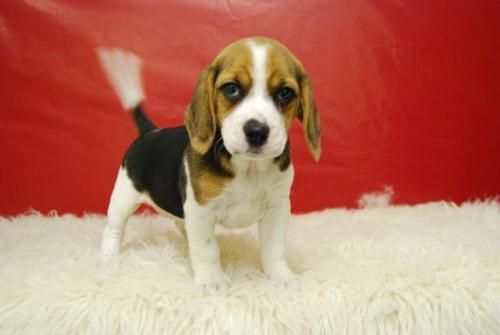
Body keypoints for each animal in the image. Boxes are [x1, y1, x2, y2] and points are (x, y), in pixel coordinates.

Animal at [97, 36, 320, 292]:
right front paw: (212, 280)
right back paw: (108, 258)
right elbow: (206, 247)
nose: (256, 131)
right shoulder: (201, 209)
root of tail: (150, 131)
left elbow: (274, 249)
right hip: (123, 196)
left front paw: (282, 277)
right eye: (231, 88)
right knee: (113, 229)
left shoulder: (278, 207)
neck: (249, 167)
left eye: (285, 93)